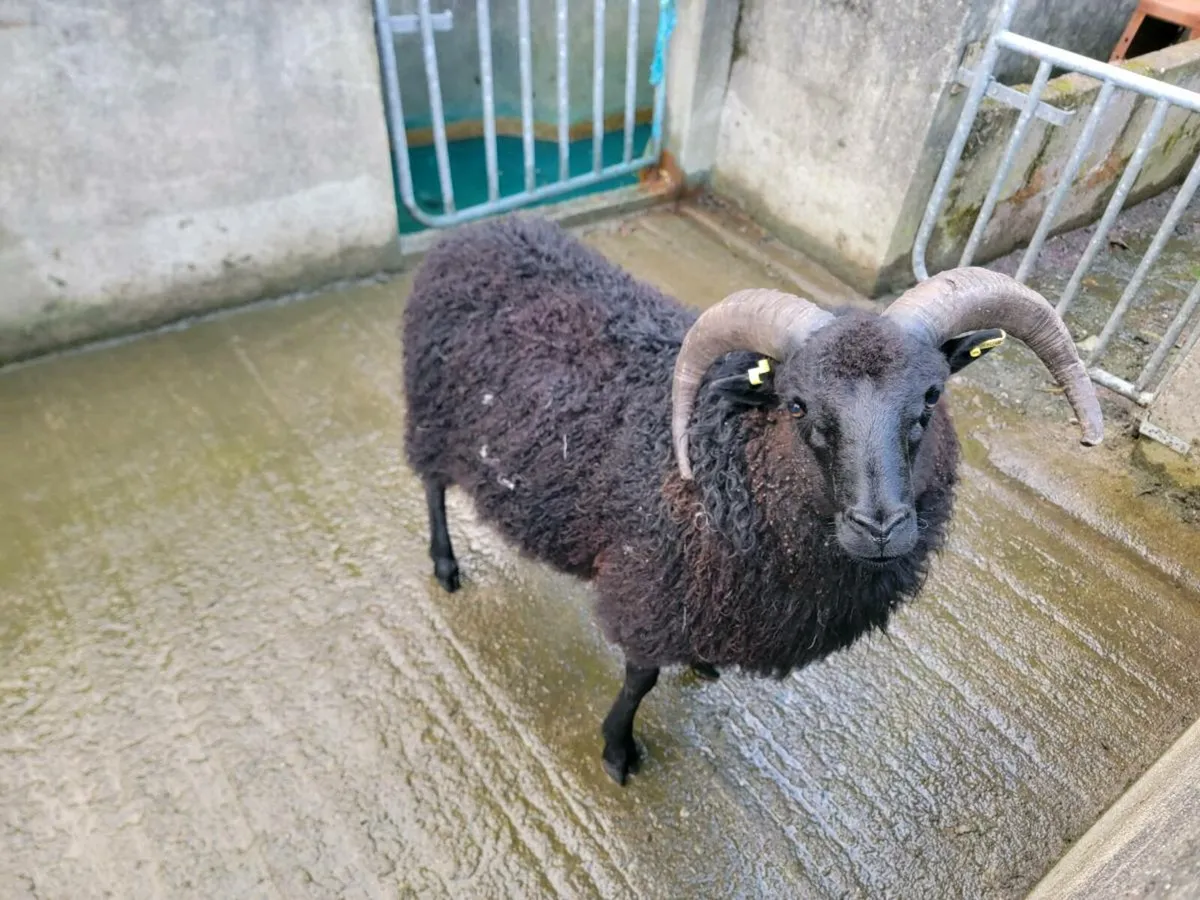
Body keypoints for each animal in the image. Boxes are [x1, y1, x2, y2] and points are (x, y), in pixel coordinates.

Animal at [400, 215, 1103, 785]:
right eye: (796, 405)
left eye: (931, 396)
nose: (879, 527)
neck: (722, 455)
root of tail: (478, 231)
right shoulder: (649, 582)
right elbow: (639, 678)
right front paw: (617, 750)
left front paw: (701, 666)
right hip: (433, 414)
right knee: (432, 487)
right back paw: (445, 565)